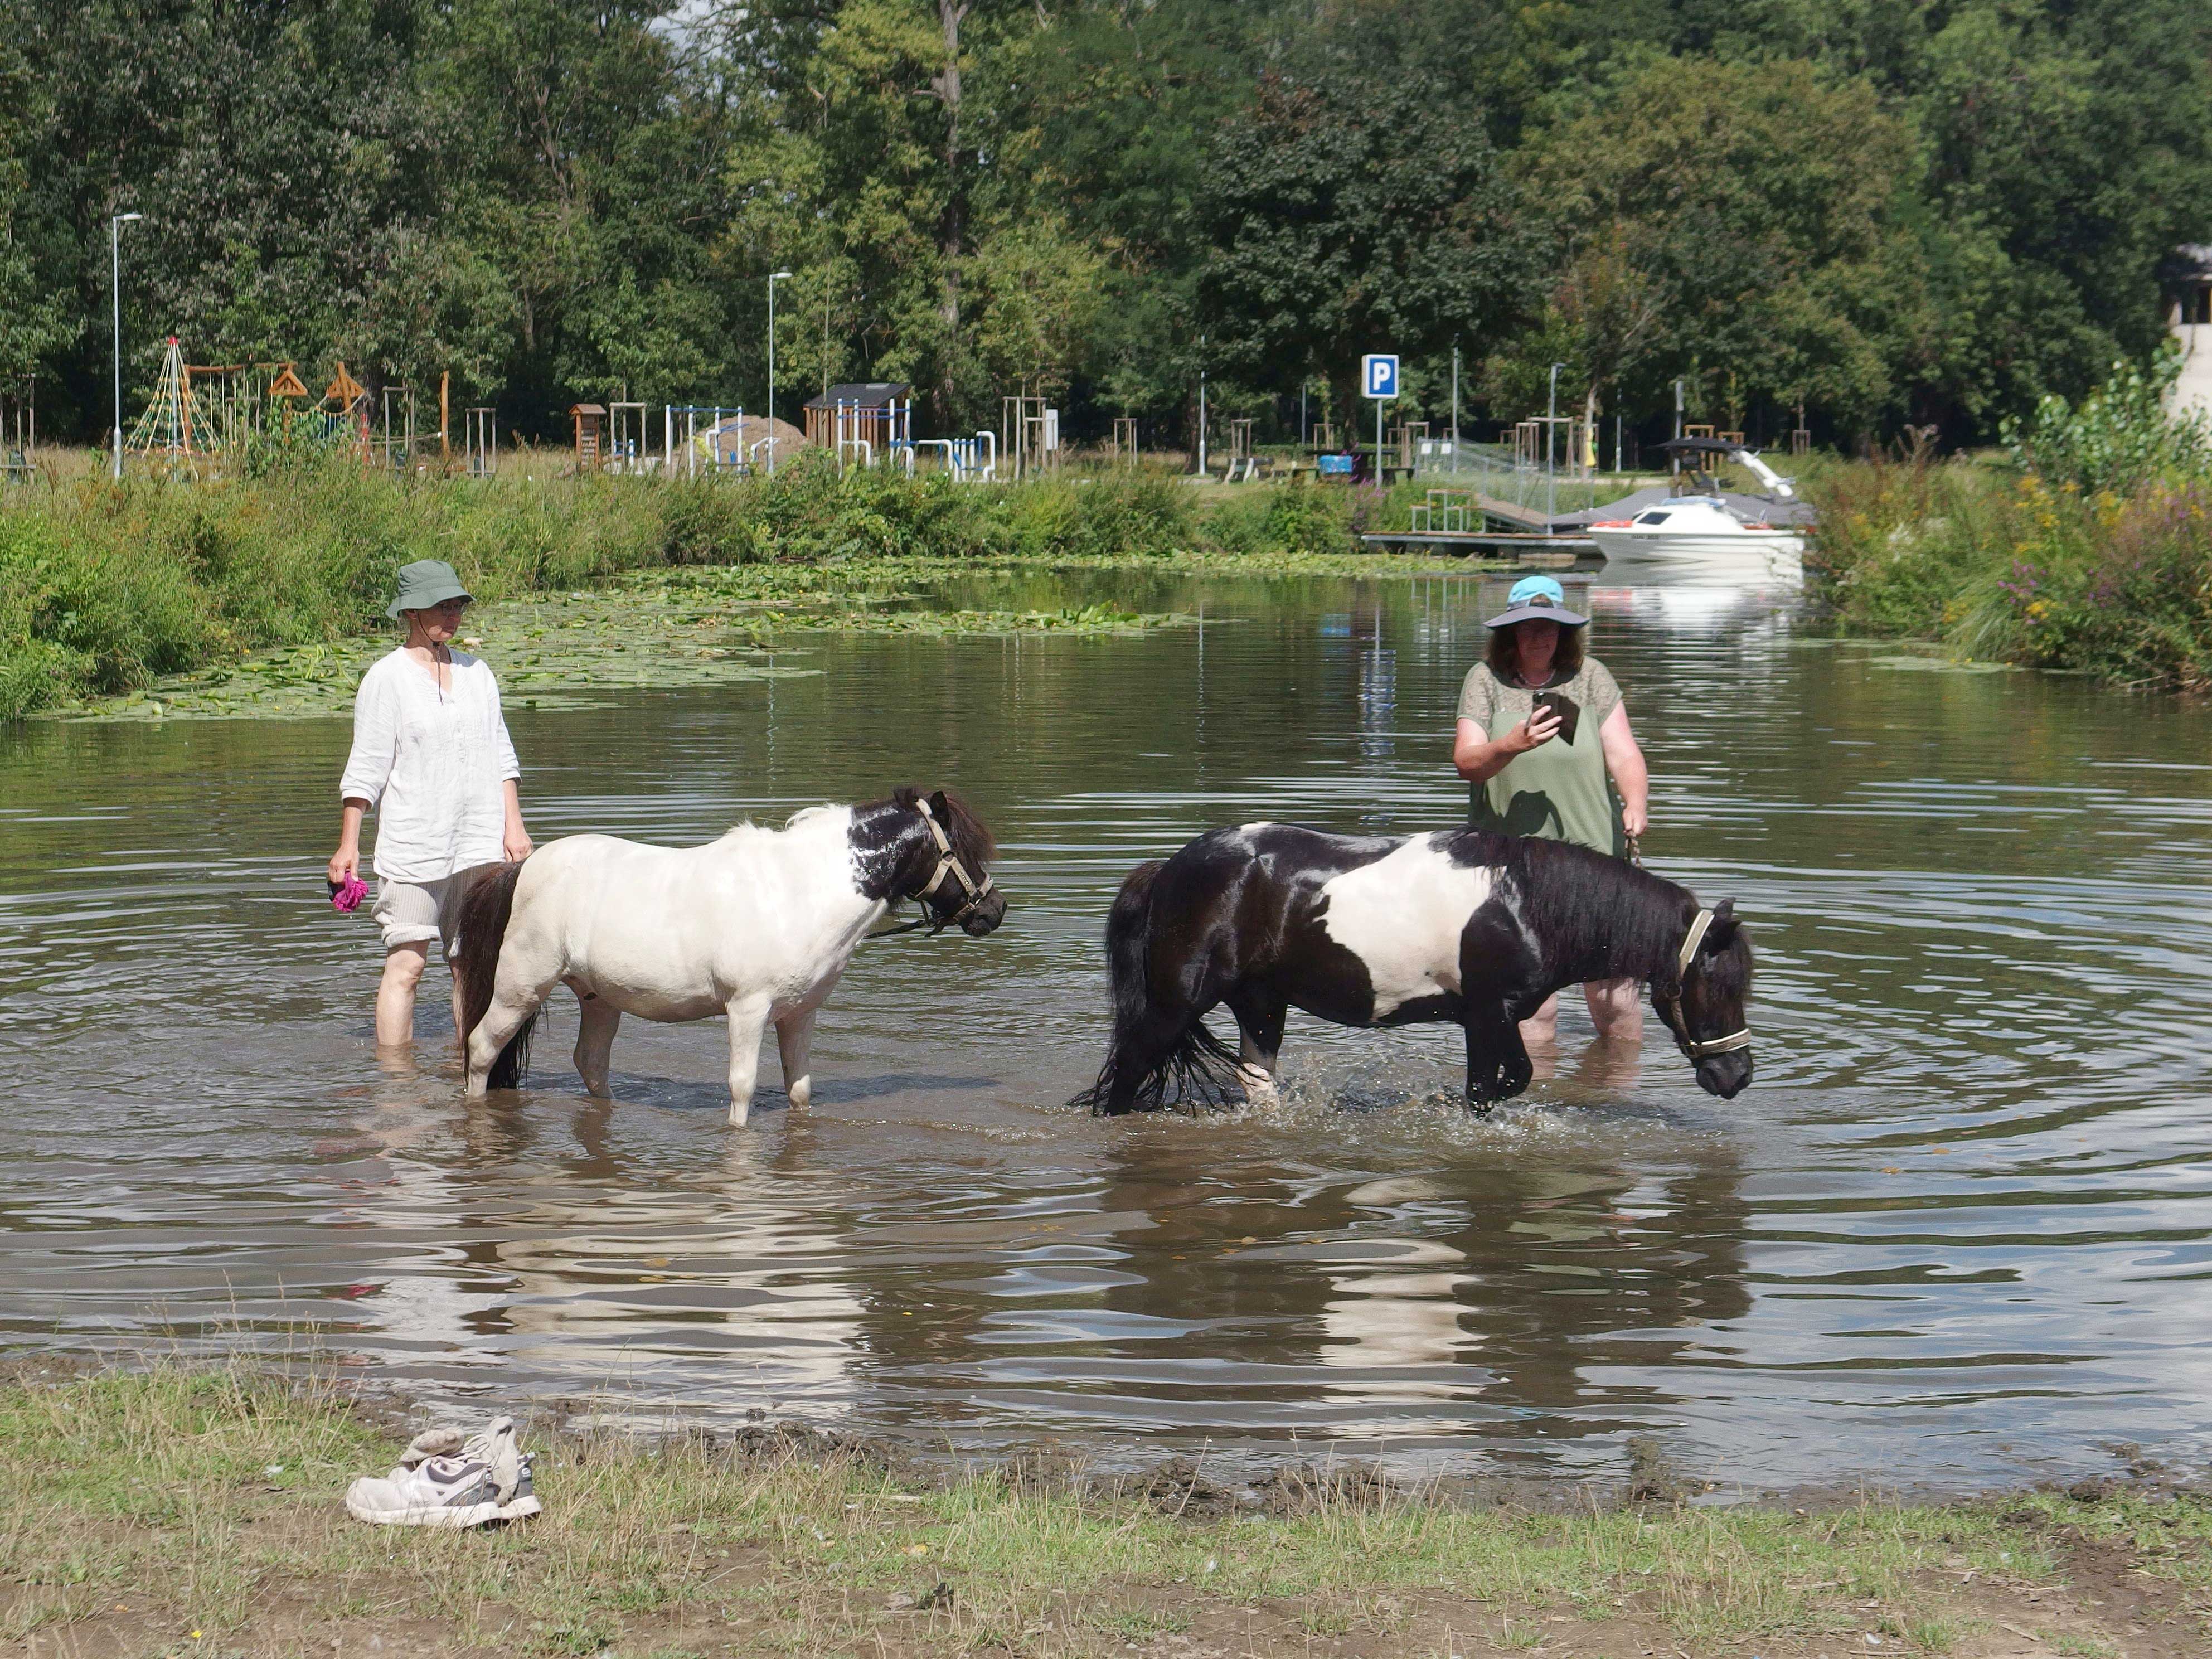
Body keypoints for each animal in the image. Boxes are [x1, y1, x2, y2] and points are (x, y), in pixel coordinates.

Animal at [449, 792, 1004, 1132]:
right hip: (521, 988)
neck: (799, 891)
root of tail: (522, 868)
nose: (994, 911)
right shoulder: (748, 1010)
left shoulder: (800, 1014)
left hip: (599, 998)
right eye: (961, 849)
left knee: (590, 1063)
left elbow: (799, 1090)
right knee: (481, 1048)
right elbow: (742, 1088)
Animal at [1075, 827, 1760, 1119]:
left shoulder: (1484, 1022)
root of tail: (1170, 867)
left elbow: (1493, 1085)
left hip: (1261, 1006)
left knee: (1256, 1082)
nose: (1736, 1076)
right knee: (1126, 1077)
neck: (1525, 903)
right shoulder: (1490, 1013)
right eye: (1716, 985)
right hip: (1173, 1006)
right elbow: (1505, 1082)